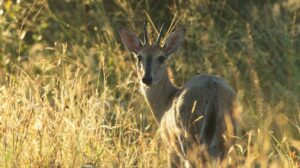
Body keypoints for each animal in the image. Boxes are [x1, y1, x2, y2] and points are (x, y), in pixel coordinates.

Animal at [118, 22, 238, 167]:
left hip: (188, 140)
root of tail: (213, 93)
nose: (147, 78)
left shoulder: (170, 147)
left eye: (161, 58)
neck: (165, 104)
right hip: (226, 141)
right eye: (139, 56)